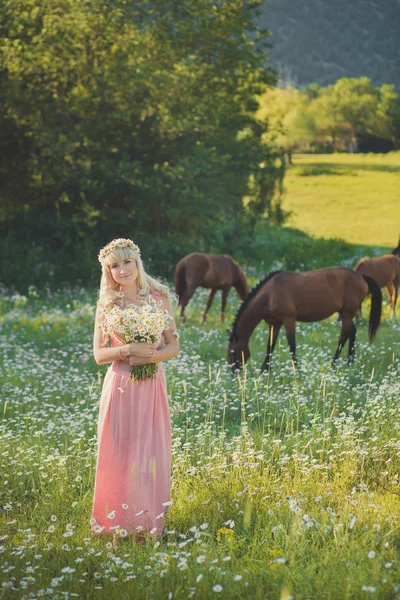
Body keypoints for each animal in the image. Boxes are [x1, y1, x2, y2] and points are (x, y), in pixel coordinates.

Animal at [228, 266, 382, 370]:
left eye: (233, 352)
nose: (233, 373)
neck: (270, 294)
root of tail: (360, 276)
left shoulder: (289, 320)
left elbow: (292, 346)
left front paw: (297, 371)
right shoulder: (274, 323)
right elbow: (270, 346)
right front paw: (264, 371)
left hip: (348, 314)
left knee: (343, 336)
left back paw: (334, 364)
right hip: (344, 314)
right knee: (352, 332)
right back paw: (350, 363)